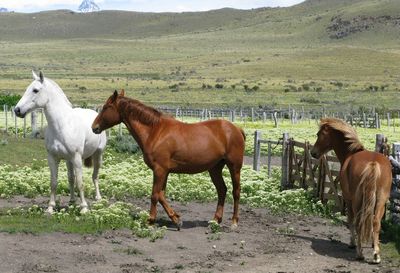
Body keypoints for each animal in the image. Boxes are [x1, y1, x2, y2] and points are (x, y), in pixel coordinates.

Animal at [310, 118, 392, 262]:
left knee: (358, 222)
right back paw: (376, 255)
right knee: (376, 222)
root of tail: (373, 164)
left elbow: (351, 220)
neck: (351, 153)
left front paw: (352, 243)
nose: (313, 153)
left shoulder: (348, 199)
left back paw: (359, 253)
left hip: (356, 200)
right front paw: (373, 244)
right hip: (381, 200)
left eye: (319, 134)